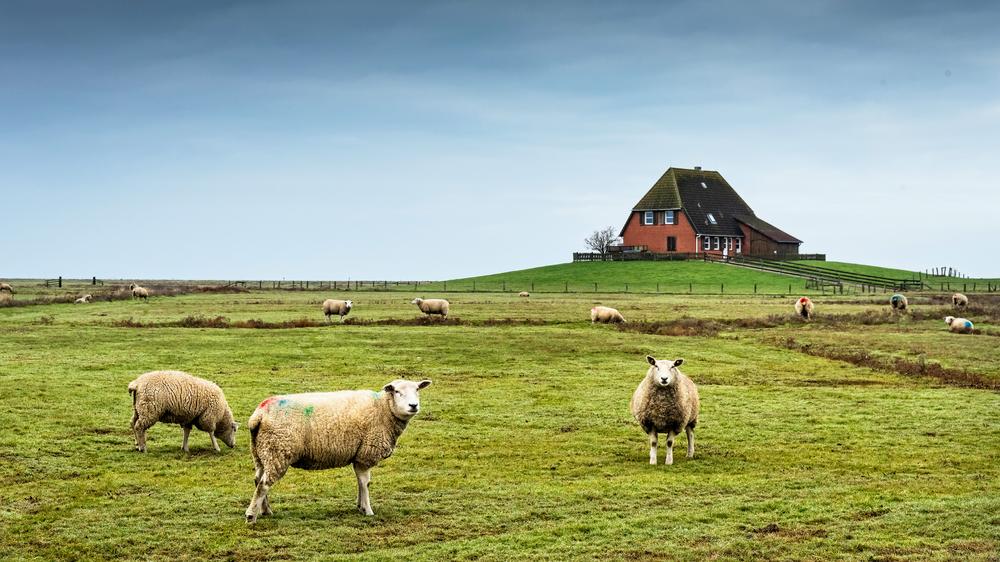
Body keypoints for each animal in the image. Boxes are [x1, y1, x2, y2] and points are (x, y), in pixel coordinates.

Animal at [244, 376, 432, 520]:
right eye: (397, 392)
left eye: (417, 389)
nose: (413, 406)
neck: (383, 409)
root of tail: (259, 414)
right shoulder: (366, 454)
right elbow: (365, 482)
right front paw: (368, 510)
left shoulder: (358, 456)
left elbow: (360, 482)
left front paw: (360, 506)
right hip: (278, 451)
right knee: (264, 484)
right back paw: (251, 516)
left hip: (261, 452)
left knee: (258, 480)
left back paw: (265, 510)